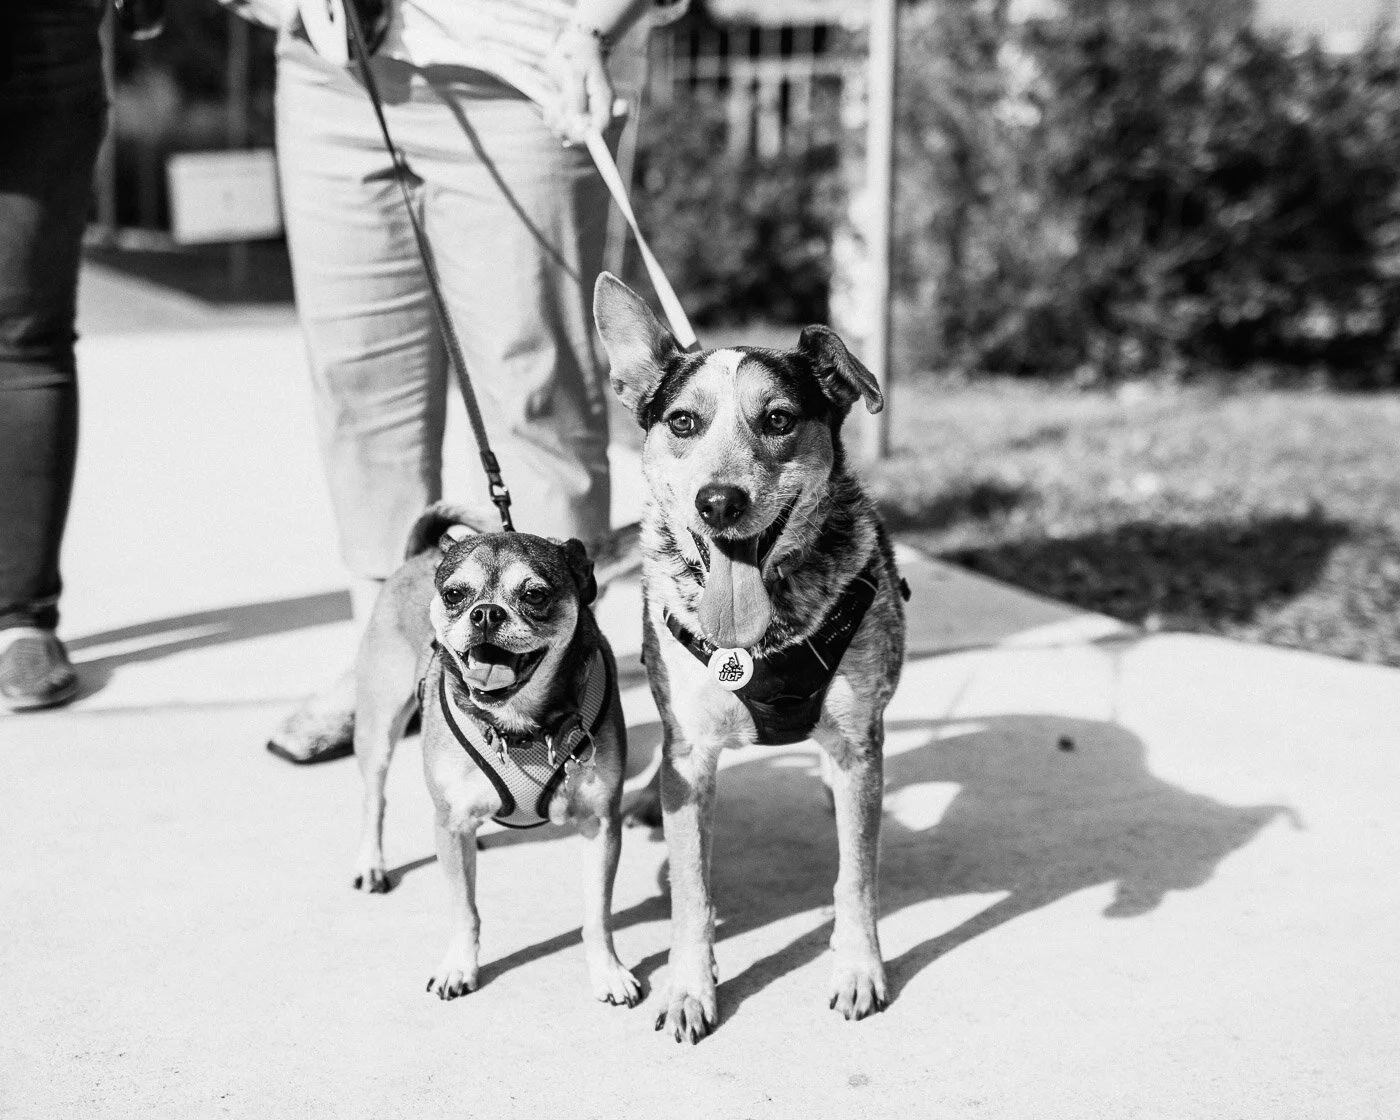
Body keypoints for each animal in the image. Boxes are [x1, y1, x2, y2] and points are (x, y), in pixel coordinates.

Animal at [351, 503, 641, 1005]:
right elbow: (464, 910)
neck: (519, 725)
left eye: (535, 595)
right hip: (380, 730)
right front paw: (459, 966)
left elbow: (597, 914)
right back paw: (373, 864)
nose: (485, 613)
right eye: (454, 594)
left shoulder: (601, 826)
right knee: (375, 799)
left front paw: (608, 971)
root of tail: (420, 554)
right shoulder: (451, 826)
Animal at [593, 273, 908, 1042]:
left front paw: (859, 968)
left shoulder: (861, 745)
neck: (765, 638)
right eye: (682, 422)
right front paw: (689, 986)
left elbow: (857, 875)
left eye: (779, 419)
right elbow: (690, 889)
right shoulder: (690, 751)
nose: (719, 501)